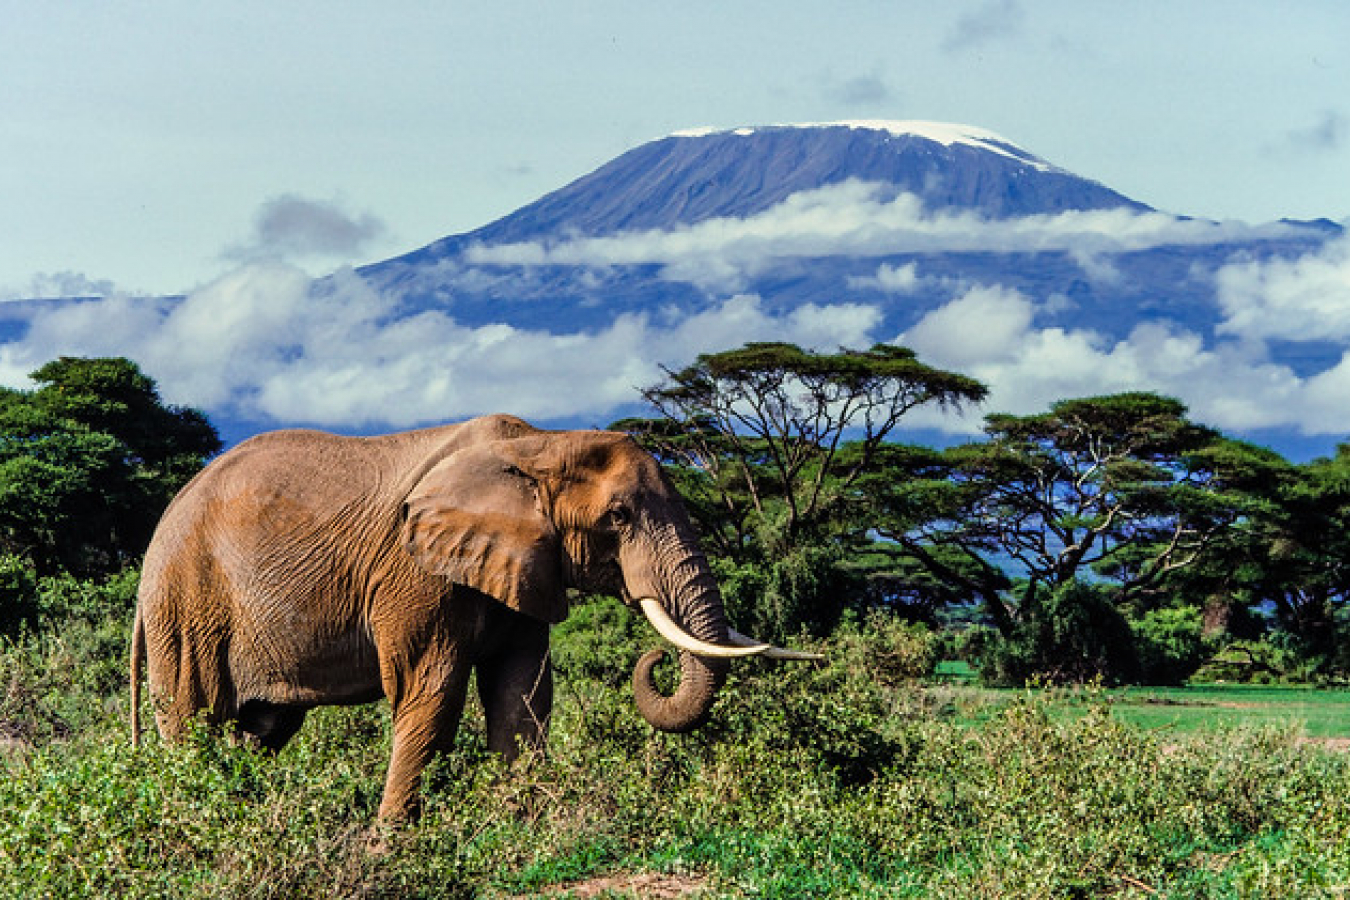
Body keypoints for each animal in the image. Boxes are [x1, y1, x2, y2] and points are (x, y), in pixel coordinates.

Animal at [131, 418, 815, 820]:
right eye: (618, 517)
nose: (656, 660)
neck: (539, 442)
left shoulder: (525, 562)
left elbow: (523, 695)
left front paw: (522, 827)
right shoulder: (415, 573)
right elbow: (431, 694)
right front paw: (392, 848)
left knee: (260, 731)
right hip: (186, 607)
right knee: (193, 724)